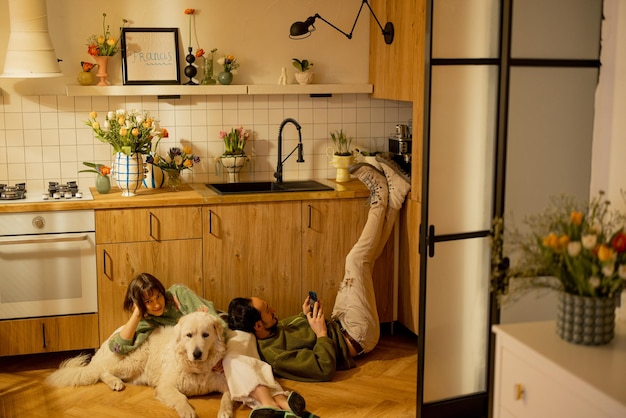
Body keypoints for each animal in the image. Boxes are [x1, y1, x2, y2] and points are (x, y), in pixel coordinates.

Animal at [45, 312, 232, 418]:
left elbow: (227, 398)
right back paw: (115, 383)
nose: (197, 353)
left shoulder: (226, 383)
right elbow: (181, 397)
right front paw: (187, 411)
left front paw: (225, 412)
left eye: (205, 335)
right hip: (134, 361)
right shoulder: (166, 386)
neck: (197, 369)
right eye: (189, 335)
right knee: (102, 371)